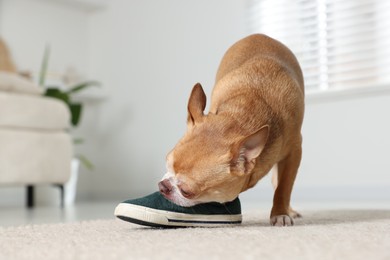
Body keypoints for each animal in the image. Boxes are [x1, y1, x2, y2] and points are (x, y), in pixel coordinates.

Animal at [158, 34, 304, 225]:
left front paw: (280, 213)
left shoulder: (294, 151)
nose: (163, 186)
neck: (243, 114)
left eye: (187, 191)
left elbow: (284, 186)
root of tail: (259, 35)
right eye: (167, 164)